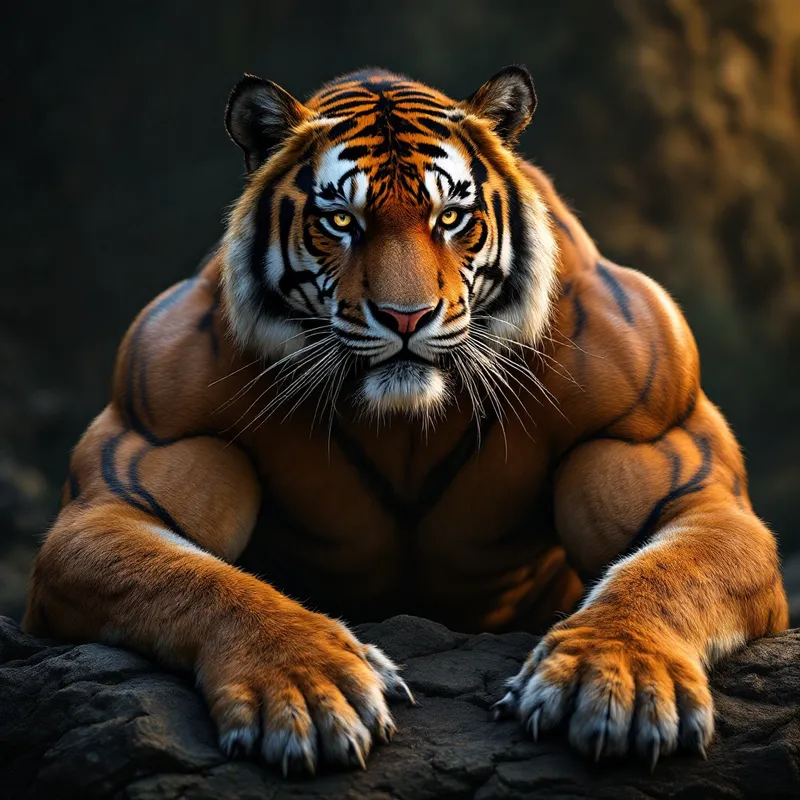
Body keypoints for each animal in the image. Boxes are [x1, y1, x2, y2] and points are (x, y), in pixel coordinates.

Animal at [23, 65, 788, 775]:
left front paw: (618, 679)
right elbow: (209, 584)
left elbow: (658, 575)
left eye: (450, 218)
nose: (406, 317)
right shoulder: (142, 447)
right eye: (341, 221)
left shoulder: (668, 453)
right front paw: (305, 684)